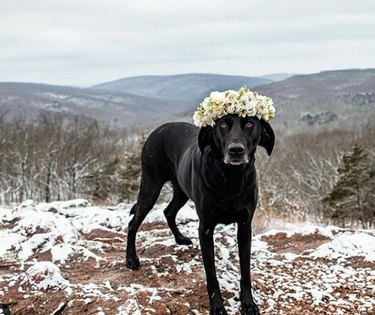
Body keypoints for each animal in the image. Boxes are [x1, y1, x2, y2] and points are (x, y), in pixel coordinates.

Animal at [126, 115, 276, 314]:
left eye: (250, 124)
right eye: (223, 124)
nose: (236, 150)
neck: (231, 177)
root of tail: (158, 129)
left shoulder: (245, 227)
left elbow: (245, 272)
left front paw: (248, 304)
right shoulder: (205, 228)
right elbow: (211, 275)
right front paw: (218, 306)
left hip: (181, 191)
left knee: (168, 211)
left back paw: (180, 238)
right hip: (150, 187)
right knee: (133, 223)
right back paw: (131, 259)